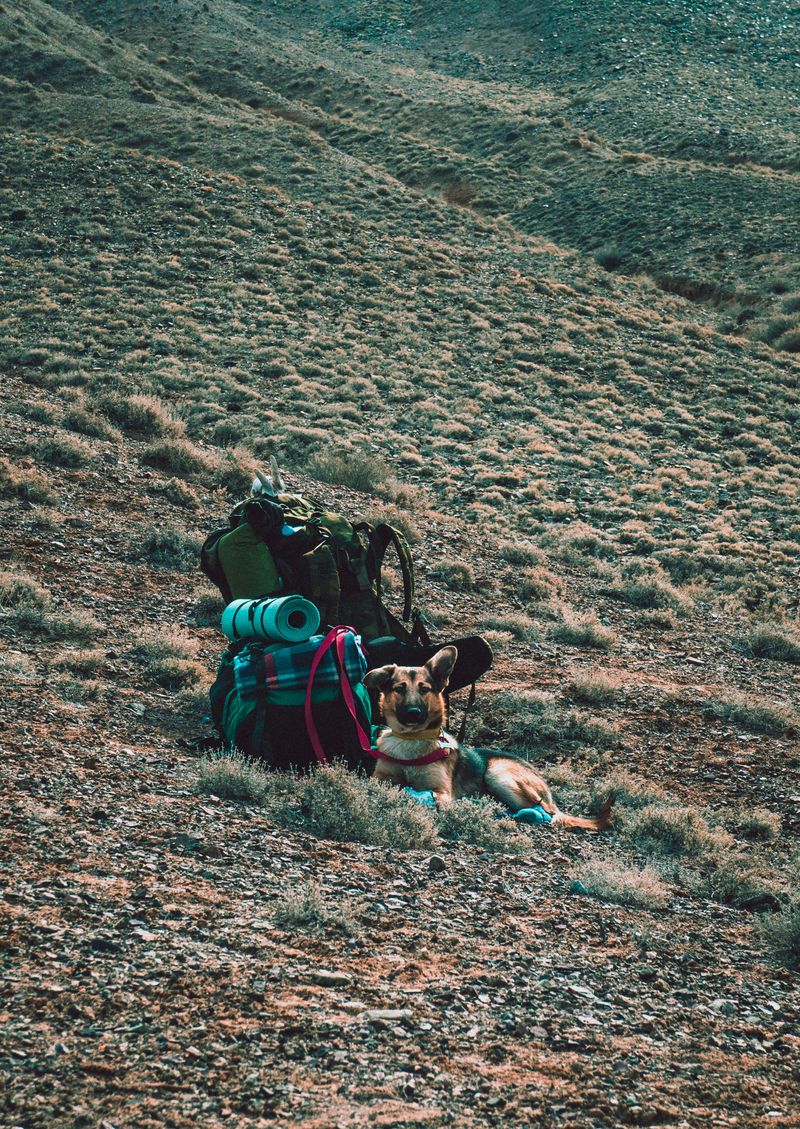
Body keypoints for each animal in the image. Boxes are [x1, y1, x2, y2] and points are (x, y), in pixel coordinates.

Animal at [363, 645, 613, 830]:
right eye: (400, 688)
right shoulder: (380, 777)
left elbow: (428, 796)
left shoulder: (441, 791)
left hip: (498, 773)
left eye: (425, 689)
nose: (414, 713)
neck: (410, 741)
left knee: (545, 813)